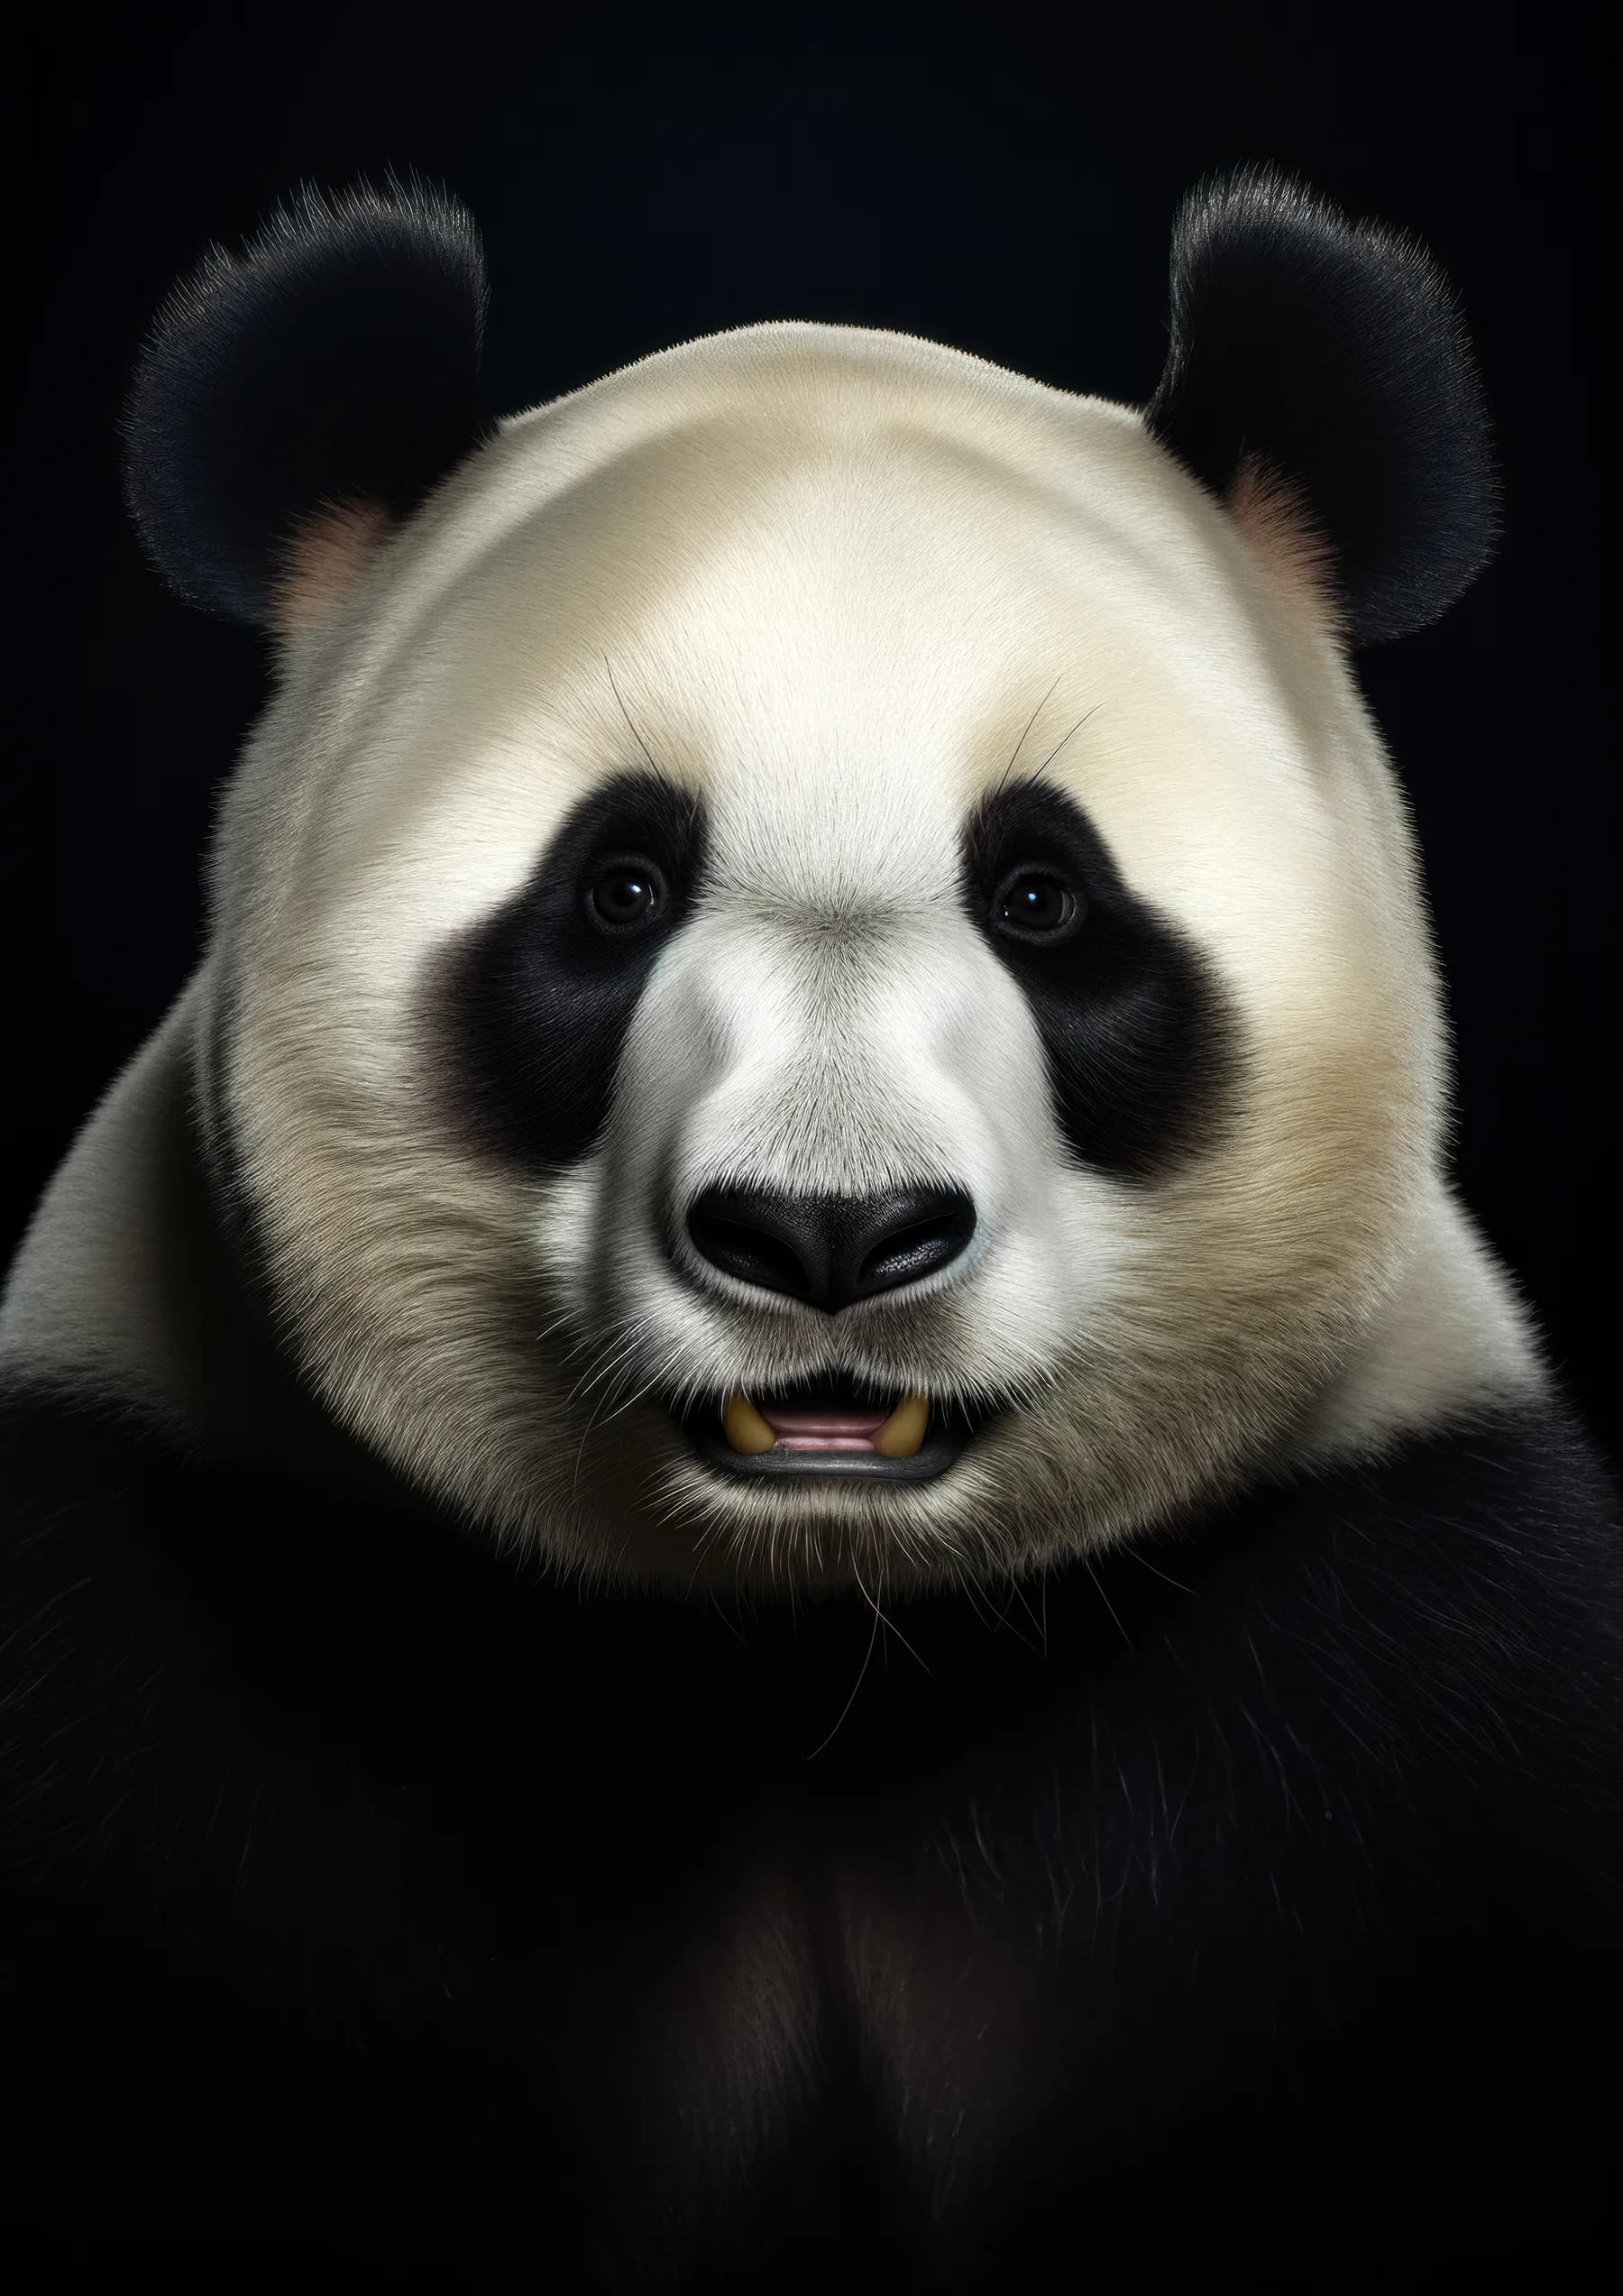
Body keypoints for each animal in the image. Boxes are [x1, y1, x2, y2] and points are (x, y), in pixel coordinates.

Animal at [1, 167, 1616, 2278]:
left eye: (1043, 896)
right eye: (616, 886)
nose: (827, 1236)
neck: (813, 1650)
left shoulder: (1376, 1645)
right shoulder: (188, 1612)